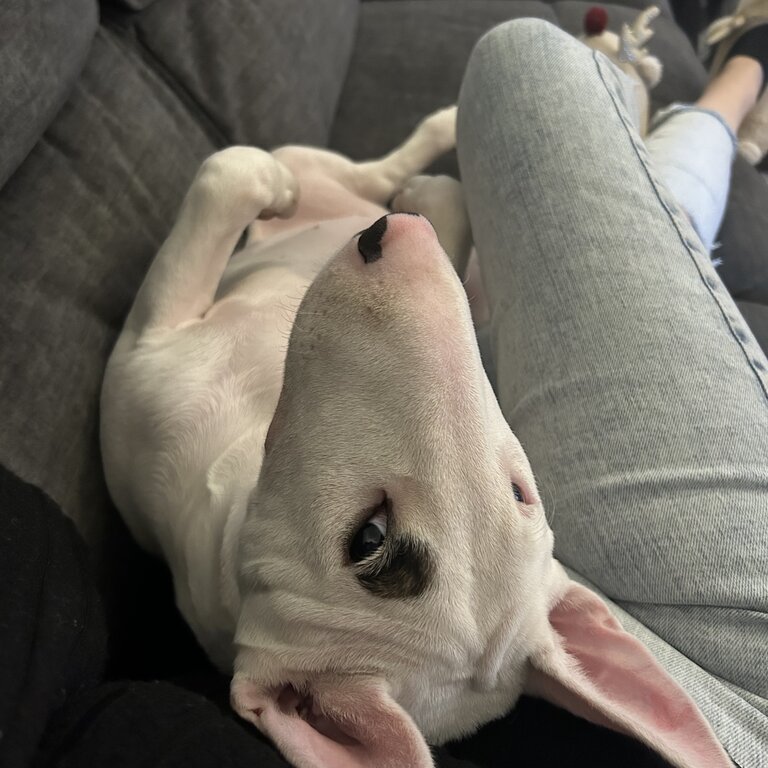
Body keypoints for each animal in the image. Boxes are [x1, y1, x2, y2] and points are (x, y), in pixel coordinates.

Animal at [102, 109, 732, 768]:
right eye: (521, 494)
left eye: (368, 539)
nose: (388, 238)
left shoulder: (143, 352)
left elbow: (226, 174)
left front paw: (271, 188)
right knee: (356, 172)